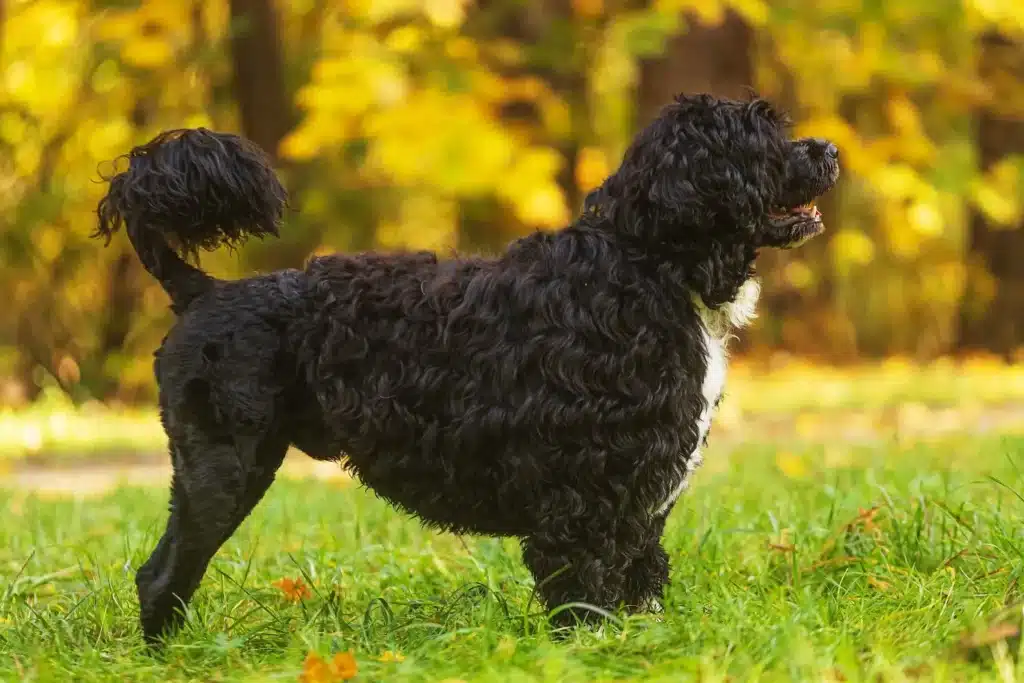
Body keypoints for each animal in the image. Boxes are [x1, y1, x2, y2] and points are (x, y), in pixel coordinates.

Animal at [92, 90, 835, 643]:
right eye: (760, 137)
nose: (828, 149)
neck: (648, 262)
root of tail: (201, 289)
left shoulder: (639, 498)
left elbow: (638, 582)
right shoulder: (585, 497)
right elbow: (588, 593)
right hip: (224, 465)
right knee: (161, 576)